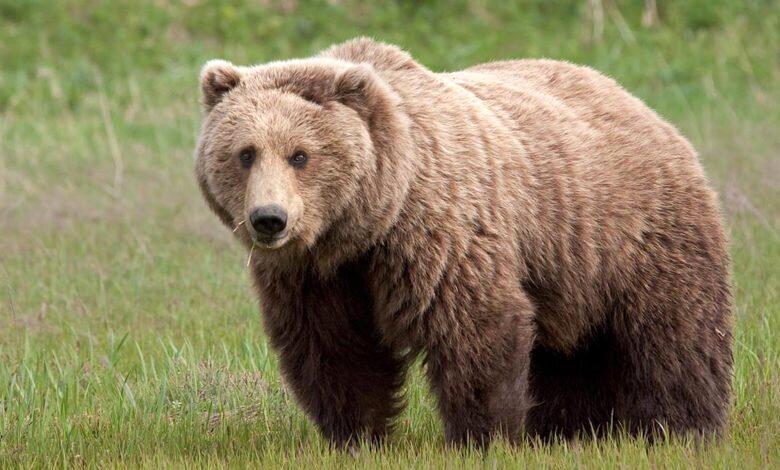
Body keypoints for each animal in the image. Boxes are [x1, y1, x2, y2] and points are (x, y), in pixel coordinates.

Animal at [193, 37, 732, 448]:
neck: (366, 225)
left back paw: (682, 426)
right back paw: (568, 429)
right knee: (569, 353)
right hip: (569, 267)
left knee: (675, 334)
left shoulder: (438, 236)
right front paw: (356, 435)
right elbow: (334, 348)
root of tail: (640, 104)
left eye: (300, 155)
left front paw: (484, 436)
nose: (269, 219)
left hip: (635, 235)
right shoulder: (316, 276)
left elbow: (473, 328)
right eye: (245, 153)